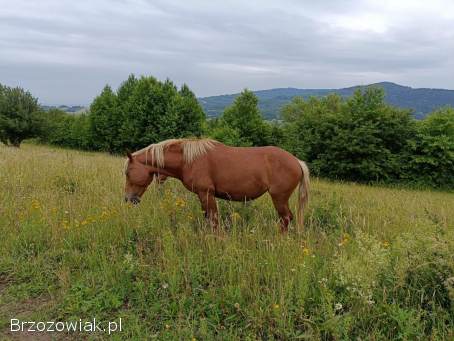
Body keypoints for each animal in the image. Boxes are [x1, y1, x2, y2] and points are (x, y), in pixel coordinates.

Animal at [123, 138, 308, 231]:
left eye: (127, 172)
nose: (128, 199)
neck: (189, 160)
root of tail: (296, 161)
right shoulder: (204, 196)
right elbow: (208, 218)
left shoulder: (206, 194)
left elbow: (213, 220)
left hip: (279, 198)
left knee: (286, 219)